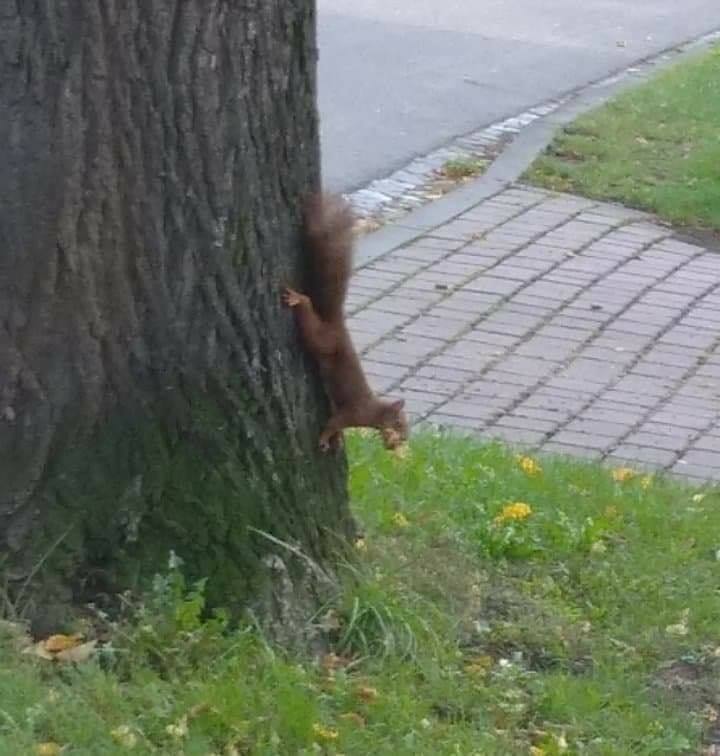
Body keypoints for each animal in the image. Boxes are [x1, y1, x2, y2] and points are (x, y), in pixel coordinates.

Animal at [283, 194, 408, 452]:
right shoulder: (352, 413)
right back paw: (299, 299)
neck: (374, 410)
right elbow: (333, 423)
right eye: (399, 422)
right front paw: (324, 439)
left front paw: (337, 439)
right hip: (323, 340)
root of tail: (337, 322)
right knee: (309, 317)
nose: (401, 441)